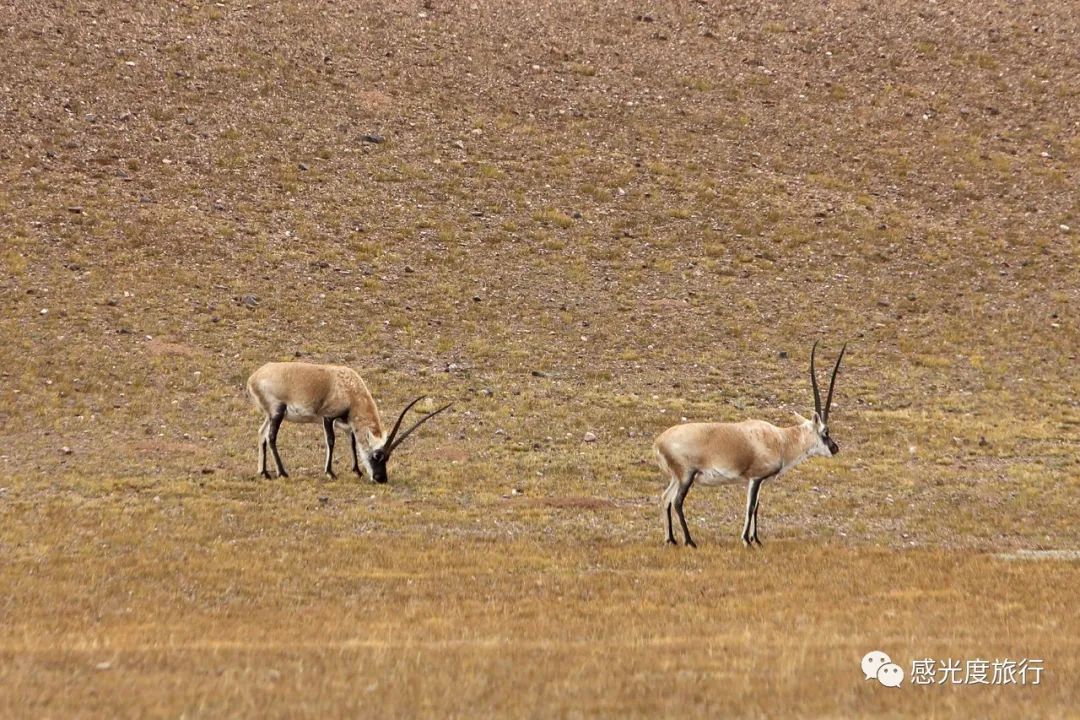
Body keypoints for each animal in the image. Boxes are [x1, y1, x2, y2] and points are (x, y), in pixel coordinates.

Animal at [247, 367, 449, 483]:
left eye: (388, 458)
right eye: (378, 455)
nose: (381, 479)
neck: (351, 388)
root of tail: (253, 378)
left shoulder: (346, 424)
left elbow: (352, 442)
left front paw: (357, 471)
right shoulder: (328, 417)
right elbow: (331, 441)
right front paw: (330, 472)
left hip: (270, 415)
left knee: (261, 433)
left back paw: (264, 473)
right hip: (277, 412)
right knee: (271, 437)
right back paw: (282, 473)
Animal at [652, 343, 846, 546]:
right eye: (825, 432)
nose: (835, 448)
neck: (781, 440)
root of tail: (659, 442)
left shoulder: (758, 481)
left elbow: (757, 506)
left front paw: (757, 539)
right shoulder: (756, 478)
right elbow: (751, 506)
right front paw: (746, 540)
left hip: (677, 478)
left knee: (665, 498)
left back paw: (671, 539)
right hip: (686, 476)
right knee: (677, 501)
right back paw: (690, 541)